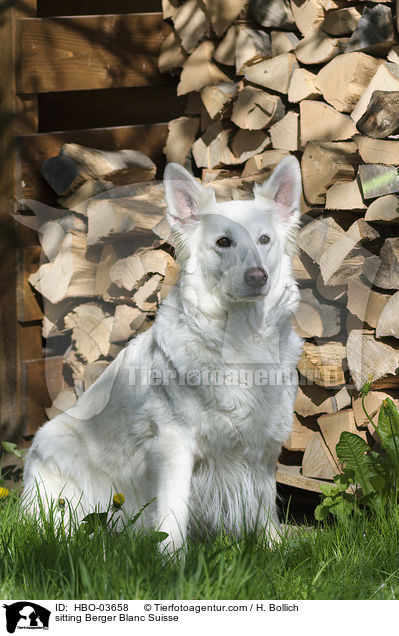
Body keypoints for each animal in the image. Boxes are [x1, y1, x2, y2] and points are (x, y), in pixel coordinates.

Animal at [22, 158, 304, 552]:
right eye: (224, 242)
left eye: (264, 240)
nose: (257, 276)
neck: (240, 338)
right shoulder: (174, 445)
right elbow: (173, 512)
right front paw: (172, 560)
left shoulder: (261, 442)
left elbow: (264, 505)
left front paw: (274, 549)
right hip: (56, 449)